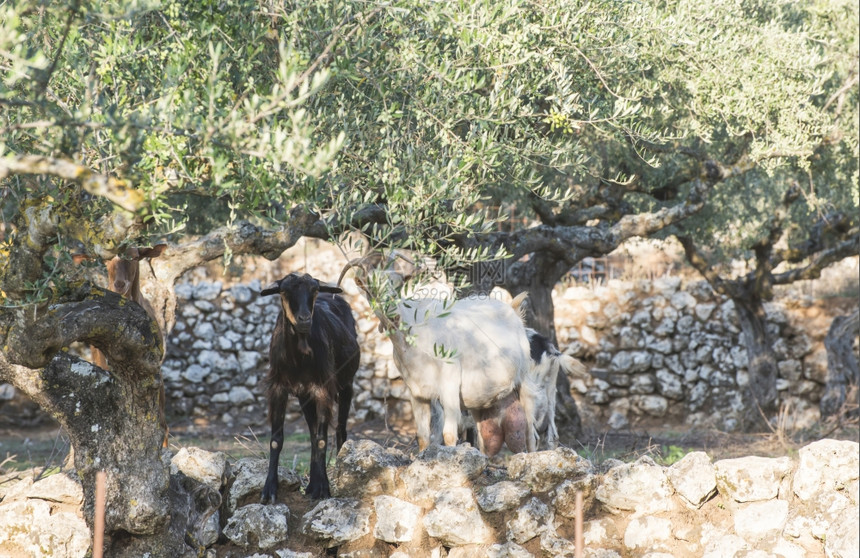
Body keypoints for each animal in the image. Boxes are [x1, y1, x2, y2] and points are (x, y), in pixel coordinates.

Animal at [258, 272, 360, 504]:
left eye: (314, 290)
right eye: (284, 291)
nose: (304, 319)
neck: (300, 357)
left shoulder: (323, 388)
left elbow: (322, 439)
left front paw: (324, 490)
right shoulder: (279, 388)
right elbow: (277, 440)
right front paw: (269, 491)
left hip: (346, 384)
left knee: (339, 431)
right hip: (305, 396)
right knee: (313, 433)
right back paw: (313, 484)